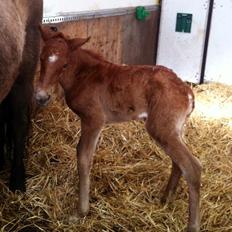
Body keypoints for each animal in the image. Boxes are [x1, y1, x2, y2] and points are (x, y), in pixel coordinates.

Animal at [35, 25, 200, 232]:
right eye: (41, 58)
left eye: (64, 65)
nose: (41, 97)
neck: (84, 75)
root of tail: (187, 92)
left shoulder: (93, 120)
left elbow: (83, 157)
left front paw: (81, 212)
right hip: (175, 129)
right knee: (178, 163)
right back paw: (165, 199)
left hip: (161, 128)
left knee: (192, 167)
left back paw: (192, 225)